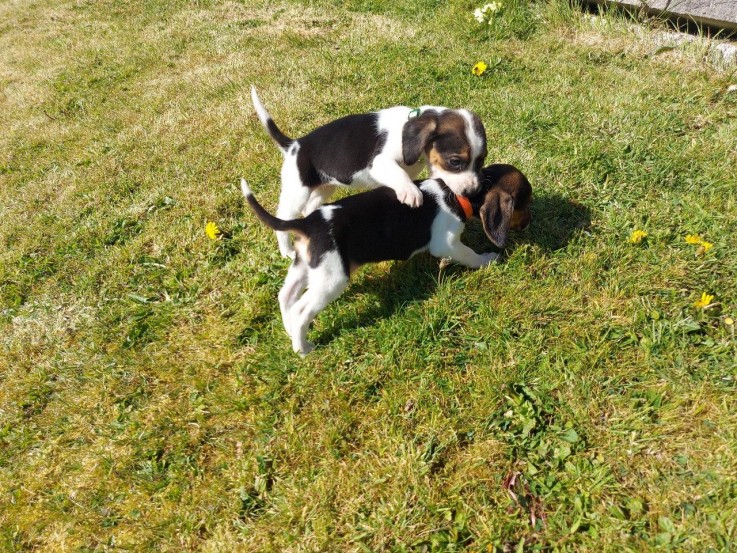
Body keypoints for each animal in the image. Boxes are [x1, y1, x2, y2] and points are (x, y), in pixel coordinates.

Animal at [239, 163, 532, 354]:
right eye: (525, 201)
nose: (529, 223)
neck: (455, 193)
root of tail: (307, 222)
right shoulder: (446, 243)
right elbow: (469, 254)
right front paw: (488, 259)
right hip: (332, 277)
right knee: (301, 309)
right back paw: (302, 348)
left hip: (307, 265)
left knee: (286, 296)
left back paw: (290, 331)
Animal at [252, 86, 488, 258]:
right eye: (455, 161)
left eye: (482, 159)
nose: (472, 192)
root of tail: (294, 145)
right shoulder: (380, 162)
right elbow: (399, 175)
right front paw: (411, 193)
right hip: (297, 191)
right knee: (283, 218)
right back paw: (287, 251)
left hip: (325, 187)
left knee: (310, 207)